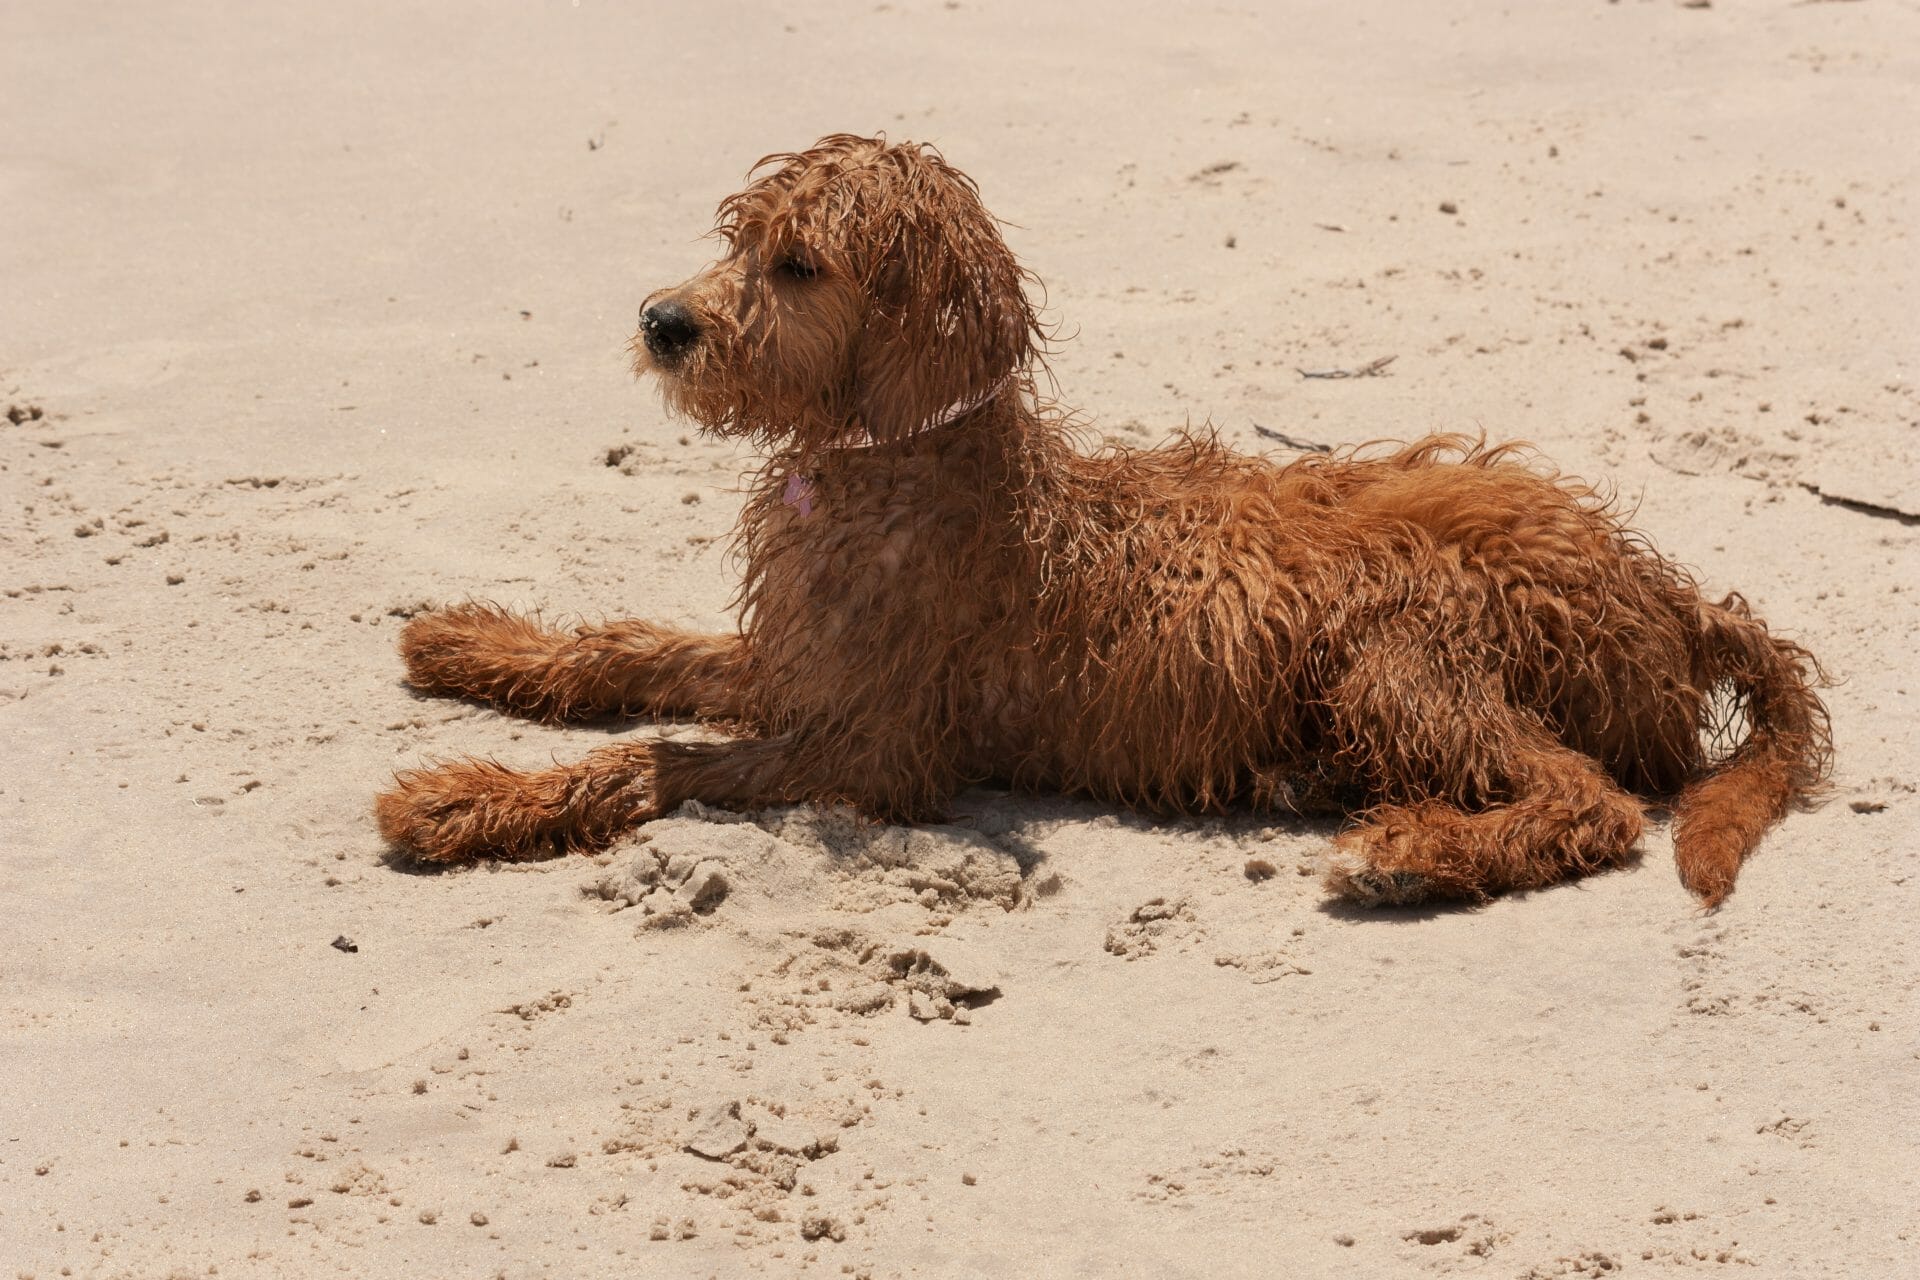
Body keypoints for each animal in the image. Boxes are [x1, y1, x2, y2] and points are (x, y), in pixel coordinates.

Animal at [378, 135, 1827, 905]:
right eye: (739, 241)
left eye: (798, 266)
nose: (661, 322)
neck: (900, 460)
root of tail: (1673, 595)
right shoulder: (797, 661)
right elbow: (627, 651)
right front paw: (474, 646)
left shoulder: (877, 747)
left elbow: (658, 754)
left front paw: (465, 797)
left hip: (1404, 642)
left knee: (1592, 803)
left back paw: (1413, 852)